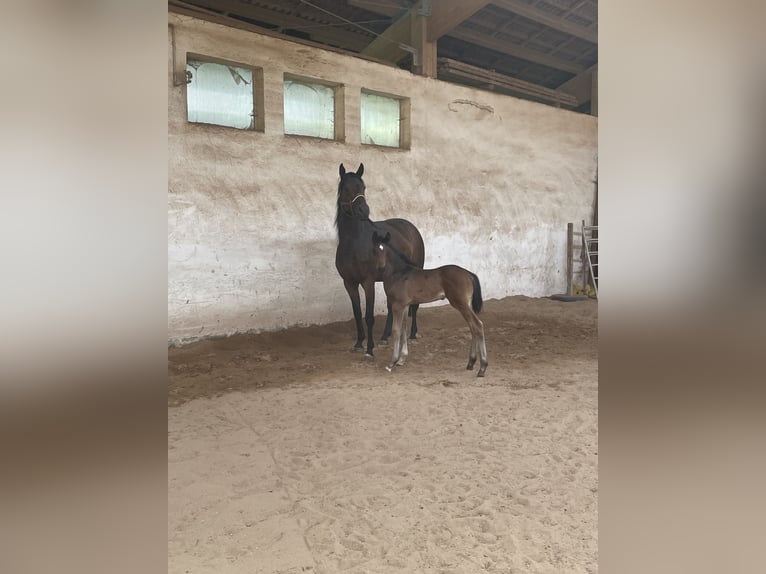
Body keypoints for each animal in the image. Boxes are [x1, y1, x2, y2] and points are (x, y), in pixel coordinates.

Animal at [335, 163, 425, 357]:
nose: (363, 210)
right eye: (345, 188)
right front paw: (359, 343)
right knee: (392, 305)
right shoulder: (349, 283)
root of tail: (411, 227)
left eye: (363, 187)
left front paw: (369, 349)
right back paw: (385, 336)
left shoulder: (368, 282)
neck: (354, 243)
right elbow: (357, 313)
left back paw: (413, 334)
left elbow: (369, 316)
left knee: (413, 304)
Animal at [372, 231, 488, 377]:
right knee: (472, 327)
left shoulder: (397, 305)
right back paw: (471, 363)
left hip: (461, 304)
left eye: (384, 250)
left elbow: (396, 330)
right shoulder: (405, 305)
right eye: (375, 250)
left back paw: (482, 367)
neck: (399, 274)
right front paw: (401, 359)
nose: (381, 267)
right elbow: (404, 329)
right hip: (466, 304)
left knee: (477, 325)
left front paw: (392, 363)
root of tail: (468, 274)